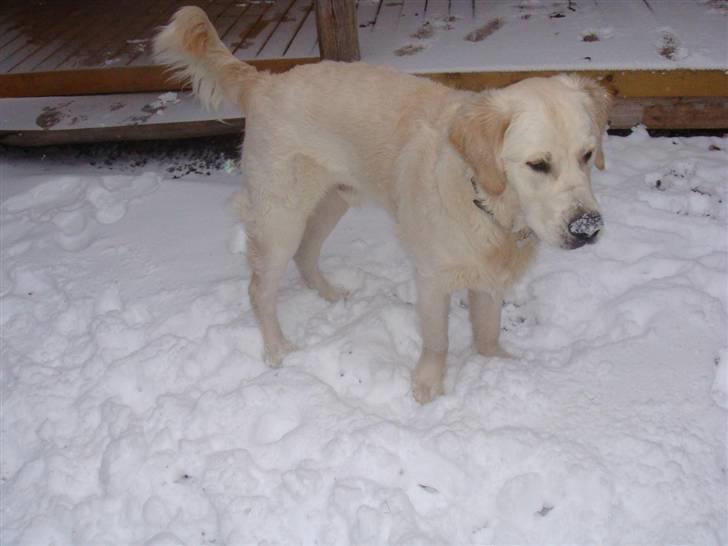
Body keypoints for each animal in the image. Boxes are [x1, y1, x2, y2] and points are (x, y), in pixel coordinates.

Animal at [156, 6, 612, 402]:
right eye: (538, 164)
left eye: (588, 155)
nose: (587, 228)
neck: (485, 200)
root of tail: (265, 81)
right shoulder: (432, 277)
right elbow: (437, 340)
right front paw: (427, 388)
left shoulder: (487, 278)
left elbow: (487, 331)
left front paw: (498, 365)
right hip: (280, 215)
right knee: (259, 288)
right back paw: (278, 349)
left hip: (332, 200)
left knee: (306, 254)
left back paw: (332, 294)